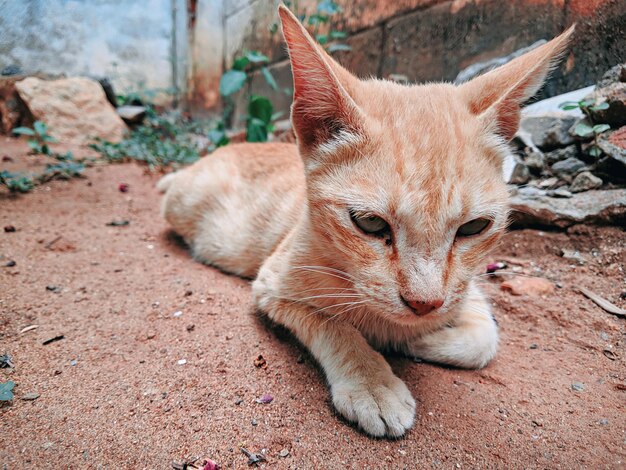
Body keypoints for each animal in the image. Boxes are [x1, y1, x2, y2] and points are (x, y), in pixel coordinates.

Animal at [158, 4, 572, 436]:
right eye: (370, 223)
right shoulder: (274, 285)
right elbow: (334, 323)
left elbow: (483, 339)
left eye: (474, 227)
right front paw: (373, 380)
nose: (424, 304)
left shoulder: (464, 289)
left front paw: (414, 340)